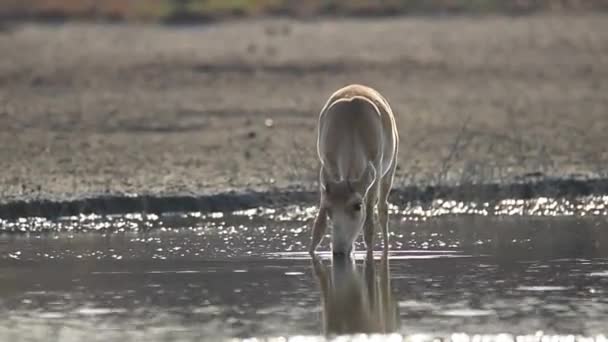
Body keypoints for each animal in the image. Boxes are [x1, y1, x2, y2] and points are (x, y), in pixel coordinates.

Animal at [308, 84, 400, 255]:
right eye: (329, 209)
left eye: (357, 206)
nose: (339, 250)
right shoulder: (326, 172)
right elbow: (319, 225)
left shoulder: (375, 175)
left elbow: (369, 225)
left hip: (388, 173)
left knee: (383, 209)